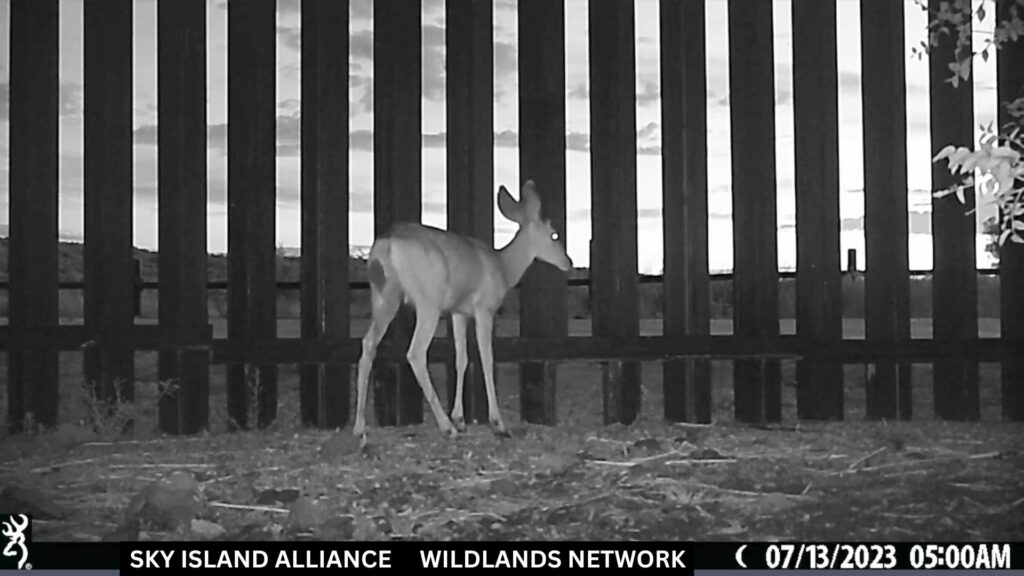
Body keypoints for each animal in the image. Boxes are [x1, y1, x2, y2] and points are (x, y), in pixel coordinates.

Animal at [354, 179, 573, 438]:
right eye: (554, 234)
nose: (569, 262)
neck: (503, 268)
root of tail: (386, 245)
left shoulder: (458, 312)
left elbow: (461, 359)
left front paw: (460, 418)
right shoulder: (484, 308)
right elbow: (487, 358)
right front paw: (497, 423)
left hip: (383, 296)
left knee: (368, 343)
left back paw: (359, 429)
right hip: (428, 302)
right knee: (415, 353)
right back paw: (446, 427)